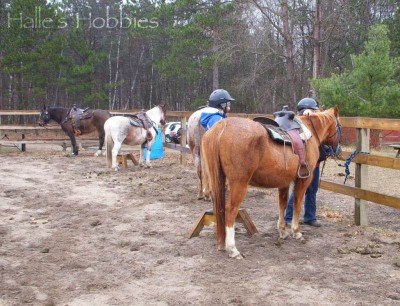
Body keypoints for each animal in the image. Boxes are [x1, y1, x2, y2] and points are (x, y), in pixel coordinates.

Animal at [202, 106, 340, 256]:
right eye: (338, 125)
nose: (338, 149)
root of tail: (222, 126)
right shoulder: (303, 180)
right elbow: (297, 204)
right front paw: (296, 232)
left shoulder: (284, 183)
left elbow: (283, 205)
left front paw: (283, 231)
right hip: (239, 183)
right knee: (230, 210)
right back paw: (233, 249)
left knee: (219, 208)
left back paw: (221, 244)